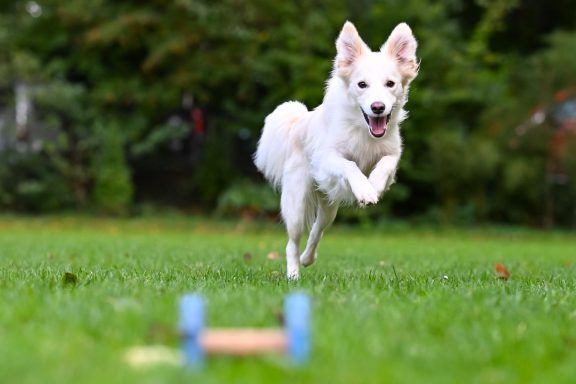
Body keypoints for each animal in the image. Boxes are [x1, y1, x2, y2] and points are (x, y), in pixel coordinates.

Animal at [254, 21, 416, 280]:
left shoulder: (392, 154)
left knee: (316, 231)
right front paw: (365, 190)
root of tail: (300, 122)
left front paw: (374, 186)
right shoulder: (326, 159)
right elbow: (349, 165)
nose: (378, 107)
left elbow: (385, 164)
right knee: (292, 242)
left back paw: (307, 259)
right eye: (362, 85)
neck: (363, 131)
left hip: (329, 208)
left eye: (390, 84)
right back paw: (293, 274)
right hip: (296, 203)